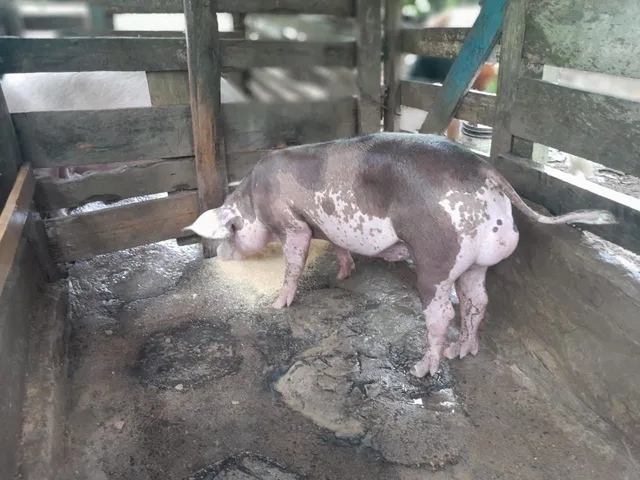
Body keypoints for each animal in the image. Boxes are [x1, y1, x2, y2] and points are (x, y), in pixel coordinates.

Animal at [183, 132, 617, 378]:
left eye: (229, 232)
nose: (222, 257)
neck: (256, 198)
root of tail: (485, 171)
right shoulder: (331, 226)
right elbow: (339, 245)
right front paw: (343, 273)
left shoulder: (294, 224)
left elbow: (293, 261)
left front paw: (278, 304)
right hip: (479, 259)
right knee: (477, 301)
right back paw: (464, 351)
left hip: (436, 256)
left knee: (442, 313)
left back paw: (424, 368)